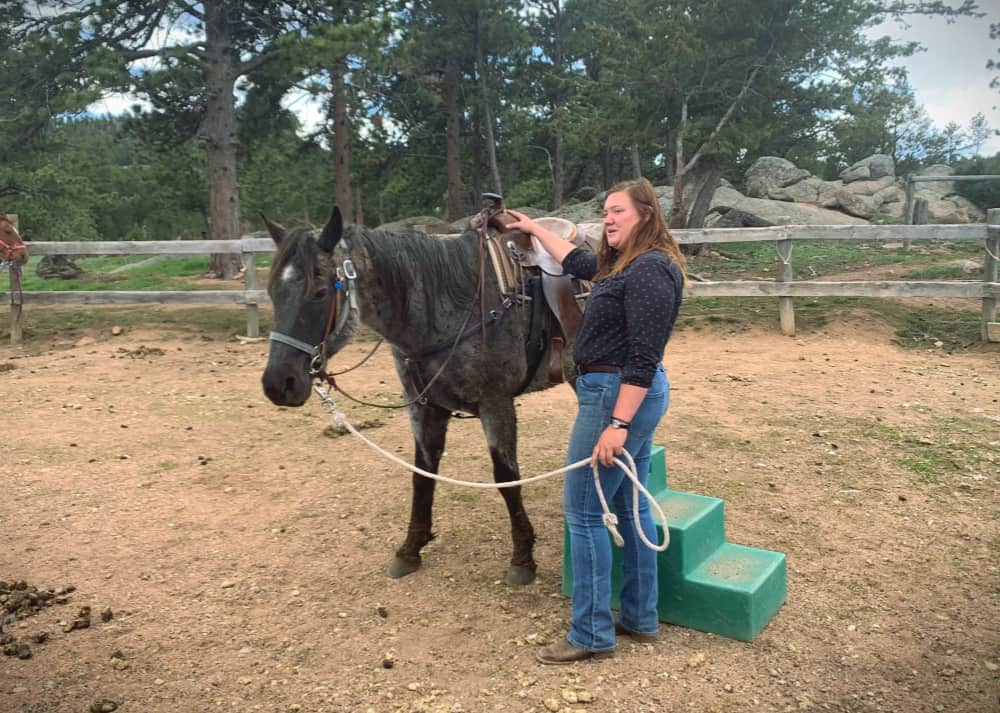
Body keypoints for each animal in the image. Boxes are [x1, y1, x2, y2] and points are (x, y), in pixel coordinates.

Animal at [260, 206, 580, 584]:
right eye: (272, 292)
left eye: (321, 291)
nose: (278, 383)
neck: (451, 303)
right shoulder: (425, 406)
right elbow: (422, 474)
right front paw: (411, 548)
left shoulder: (496, 403)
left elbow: (507, 478)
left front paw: (523, 558)